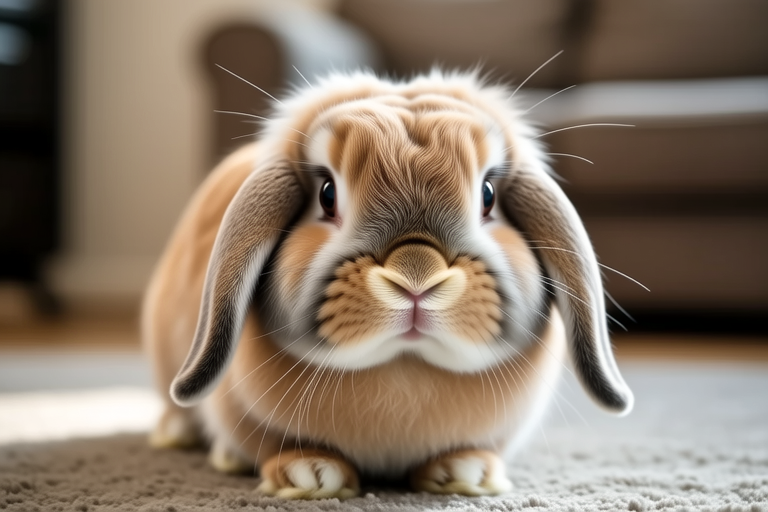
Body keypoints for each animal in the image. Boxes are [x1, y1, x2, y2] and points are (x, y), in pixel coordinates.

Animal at [142, 69, 633, 499]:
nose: (417, 277)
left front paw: (466, 471)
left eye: (488, 195)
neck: (403, 372)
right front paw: (309, 473)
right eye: (327, 194)